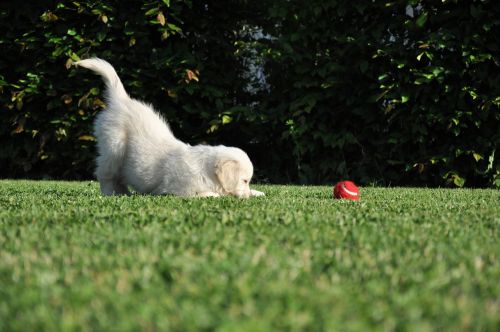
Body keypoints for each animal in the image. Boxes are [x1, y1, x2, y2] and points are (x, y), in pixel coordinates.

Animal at [74, 57, 264, 198]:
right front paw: (216, 194)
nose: (247, 196)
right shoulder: (179, 190)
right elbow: (208, 194)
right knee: (105, 173)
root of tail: (121, 100)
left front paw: (257, 192)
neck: (207, 171)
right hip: (114, 147)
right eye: (244, 180)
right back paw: (111, 193)